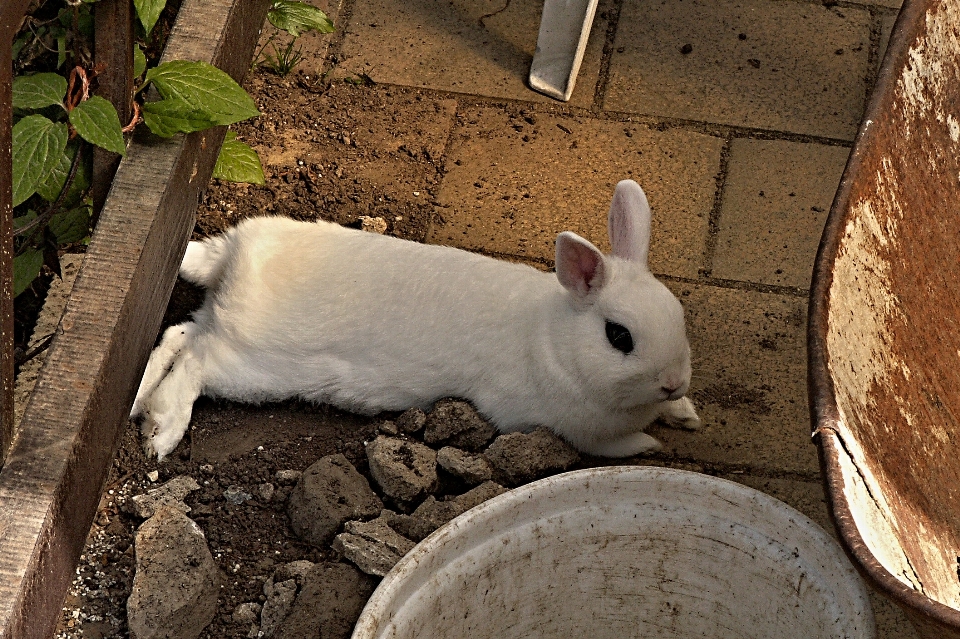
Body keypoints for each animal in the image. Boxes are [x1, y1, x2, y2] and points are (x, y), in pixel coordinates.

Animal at [129, 180, 696, 460]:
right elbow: (610, 447)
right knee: (197, 364)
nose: (673, 382)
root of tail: (234, 257)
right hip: (253, 365)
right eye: (618, 337)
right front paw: (651, 444)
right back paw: (162, 433)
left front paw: (685, 413)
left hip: (217, 323)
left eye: (680, 318)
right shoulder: (561, 427)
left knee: (178, 335)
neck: (555, 338)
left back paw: (138, 405)